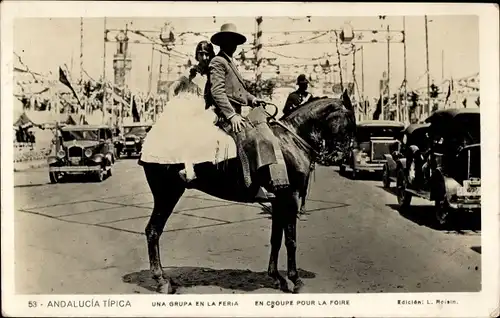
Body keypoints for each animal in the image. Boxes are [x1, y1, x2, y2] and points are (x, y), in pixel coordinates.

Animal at [140, 90, 356, 294]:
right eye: (350, 121)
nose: (339, 157)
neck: (290, 139)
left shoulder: (278, 201)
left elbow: (276, 239)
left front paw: (277, 277)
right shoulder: (290, 198)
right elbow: (291, 240)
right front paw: (295, 280)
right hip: (167, 195)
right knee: (153, 231)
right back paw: (161, 281)